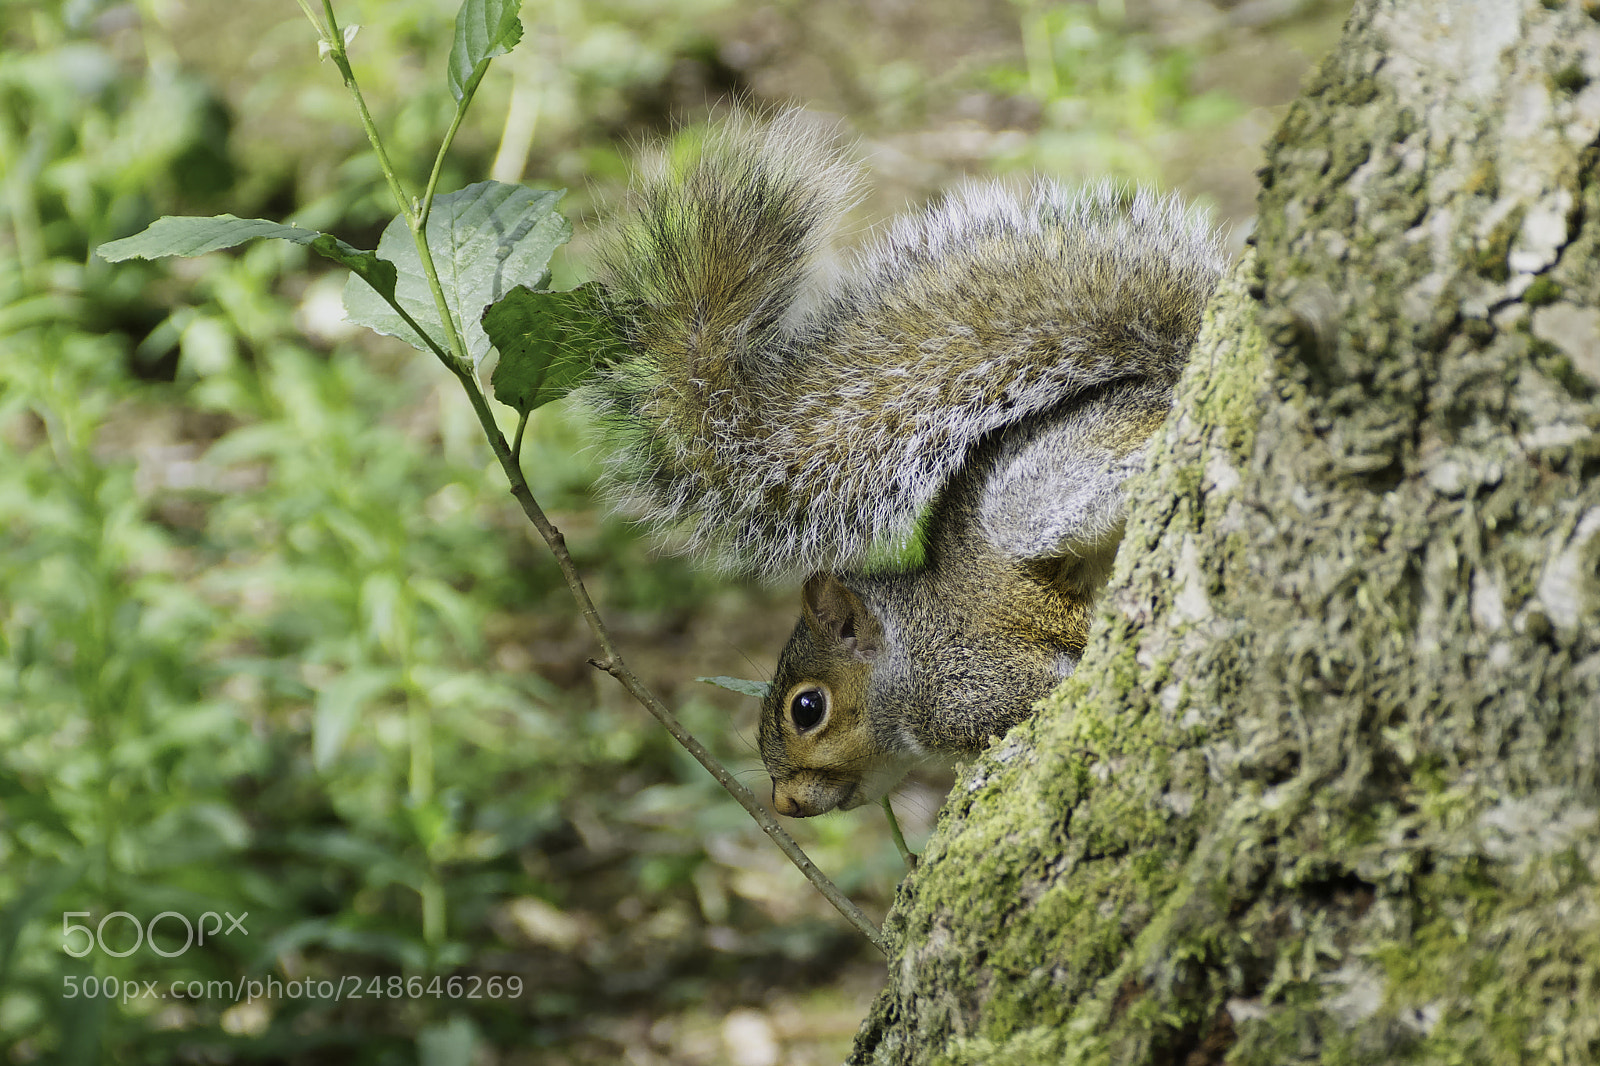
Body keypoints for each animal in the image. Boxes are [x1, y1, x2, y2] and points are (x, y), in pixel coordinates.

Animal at [577, 112, 1225, 818]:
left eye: (808, 708)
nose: (784, 806)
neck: (906, 654)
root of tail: (1169, 377)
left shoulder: (979, 682)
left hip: (1039, 494)